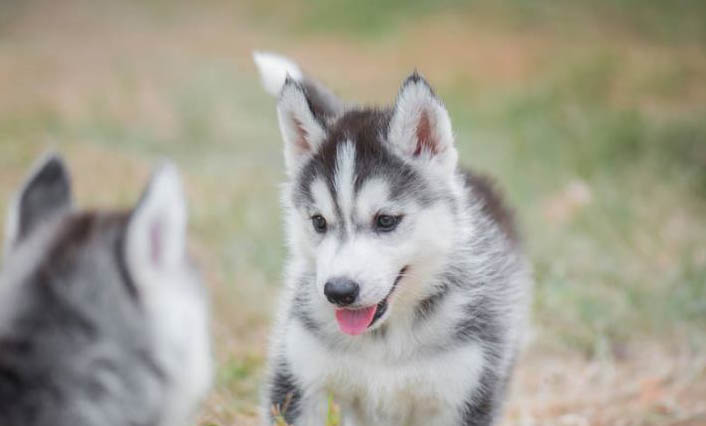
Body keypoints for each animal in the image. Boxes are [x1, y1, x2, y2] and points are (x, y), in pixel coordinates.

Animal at [253, 53, 528, 426]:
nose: (338, 292)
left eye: (385, 221)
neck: (385, 342)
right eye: (319, 222)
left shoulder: (463, 391)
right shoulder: (301, 381)